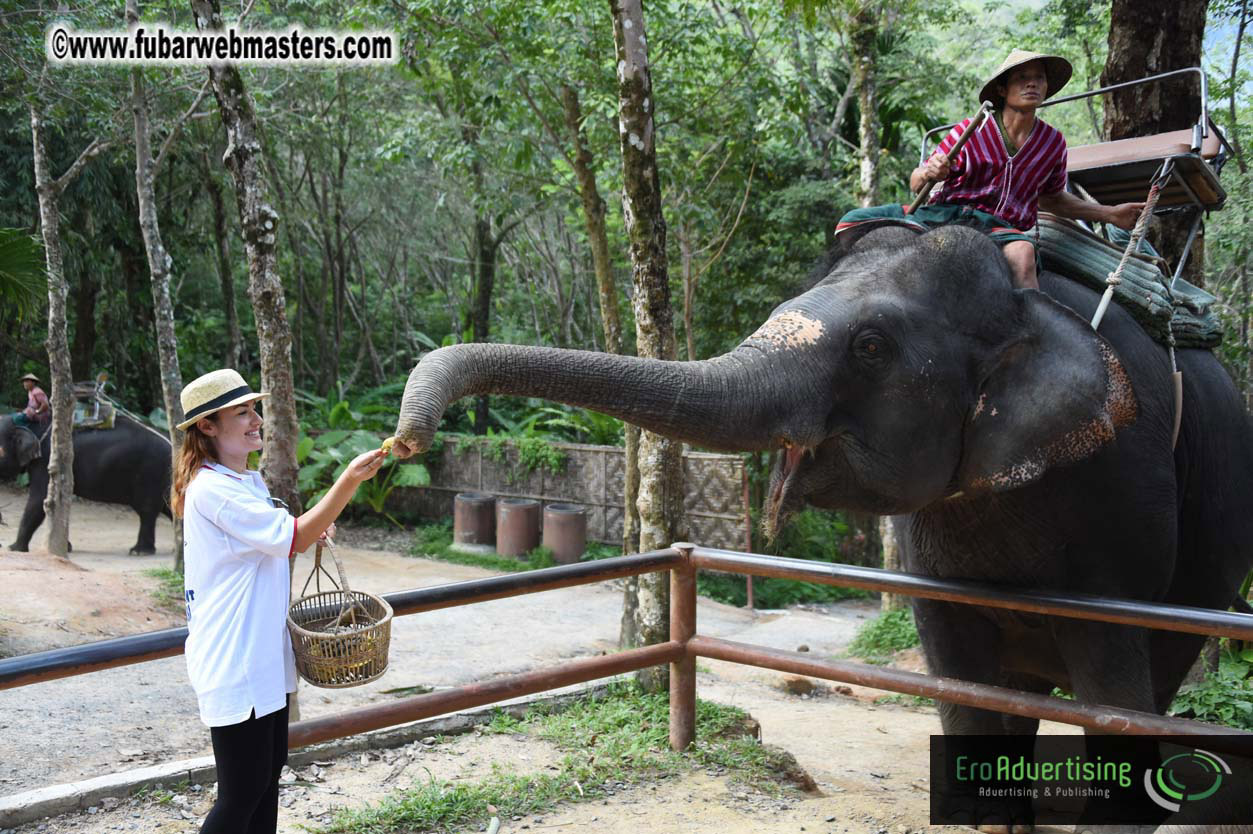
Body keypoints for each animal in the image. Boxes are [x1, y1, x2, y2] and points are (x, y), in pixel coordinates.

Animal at [0, 413, 172, 554]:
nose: (2, 544)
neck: (29, 423)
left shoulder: (48, 462)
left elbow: (39, 500)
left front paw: (13, 548)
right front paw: (66, 548)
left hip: (151, 472)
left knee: (147, 510)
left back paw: (140, 552)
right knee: (167, 506)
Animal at [388, 224, 1253, 823]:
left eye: (869, 346)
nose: (405, 438)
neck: (1024, 304)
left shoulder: (1125, 493)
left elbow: (1114, 681)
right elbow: (957, 671)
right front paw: (978, 819)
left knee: (1160, 672)